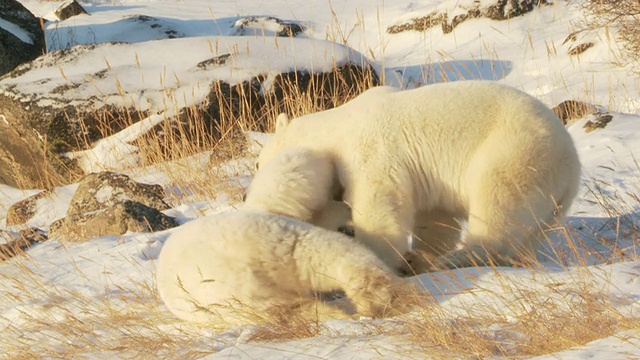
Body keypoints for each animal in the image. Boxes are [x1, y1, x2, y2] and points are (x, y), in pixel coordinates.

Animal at [258, 81, 584, 272]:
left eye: (260, 163)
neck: (335, 130)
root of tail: (572, 162)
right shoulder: (429, 180)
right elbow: (435, 219)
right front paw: (418, 256)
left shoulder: (373, 152)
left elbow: (380, 205)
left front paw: (384, 256)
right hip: (550, 202)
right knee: (527, 233)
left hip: (514, 152)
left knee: (498, 206)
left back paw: (457, 259)